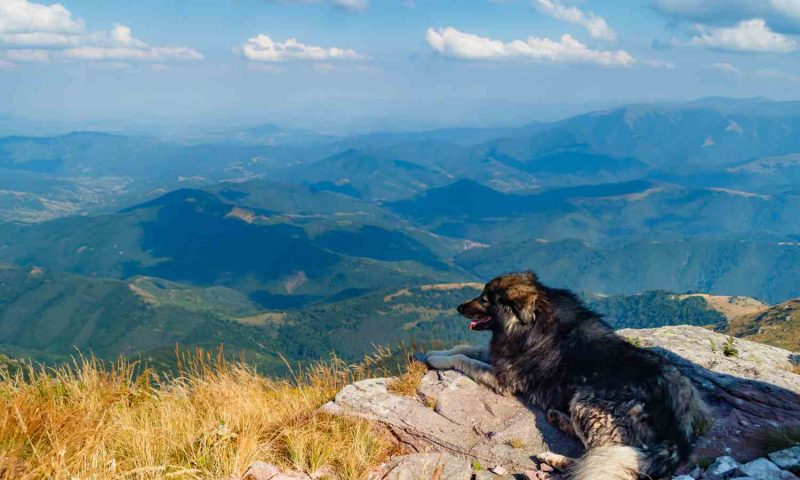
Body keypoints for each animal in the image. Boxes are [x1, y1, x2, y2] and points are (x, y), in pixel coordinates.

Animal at [418, 272, 708, 478]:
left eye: (486, 299)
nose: (459, 307)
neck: (531, 320)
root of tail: (678, 434)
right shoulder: (499, 354)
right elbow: (466, 348)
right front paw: (433, 351)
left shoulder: (503, 377)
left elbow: (464, 358)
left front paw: (437, 359)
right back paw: (558, 417)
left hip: (587, 402)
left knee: (597, 457)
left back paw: (554, 457)